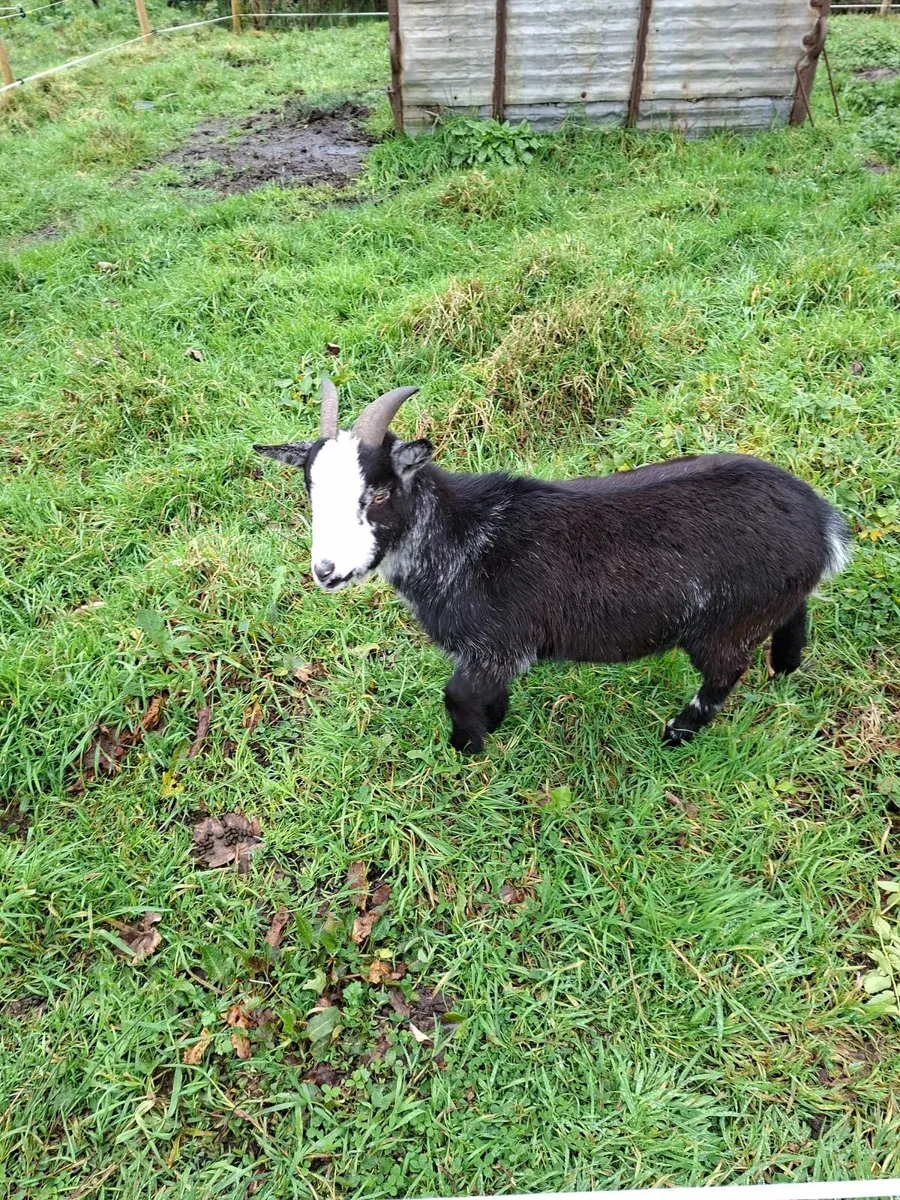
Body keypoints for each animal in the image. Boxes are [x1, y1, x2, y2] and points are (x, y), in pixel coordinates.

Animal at [254, 379, 851, 754]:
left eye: (378, 494)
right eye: (309, 490)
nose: (326, 571)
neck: (458, 536)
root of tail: (819, 522)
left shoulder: (495, 644)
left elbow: (457, 696)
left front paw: (469, 750)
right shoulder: (492, 653)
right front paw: (496, 723)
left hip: (722, 624)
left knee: (724, 674)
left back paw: (677, 732)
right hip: (771, 600)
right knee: (795, 615)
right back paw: (786, 667)